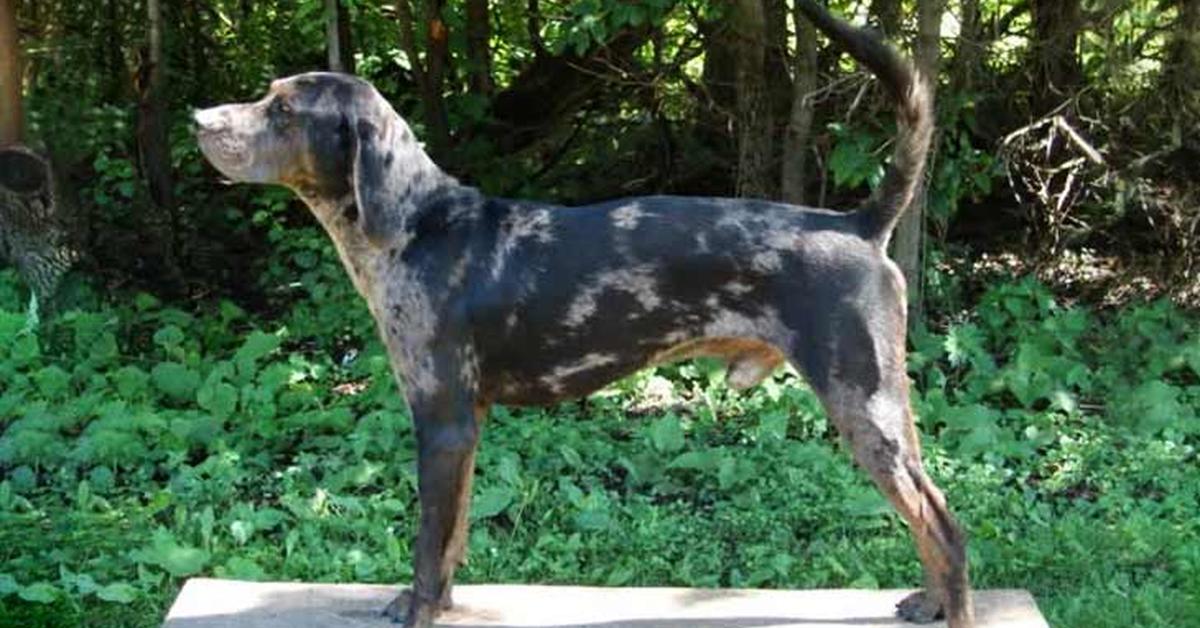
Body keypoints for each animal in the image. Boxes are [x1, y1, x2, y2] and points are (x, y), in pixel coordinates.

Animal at [189, 2, 974, 624]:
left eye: (282, 110)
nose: (198, 118)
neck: (415, 224)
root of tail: (858, 224)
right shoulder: (467, 425)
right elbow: (454, 538)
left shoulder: (440, 420)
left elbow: (426, 544)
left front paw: (416, 611)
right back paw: (930, 604)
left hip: (864, 403)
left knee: (945, 526)